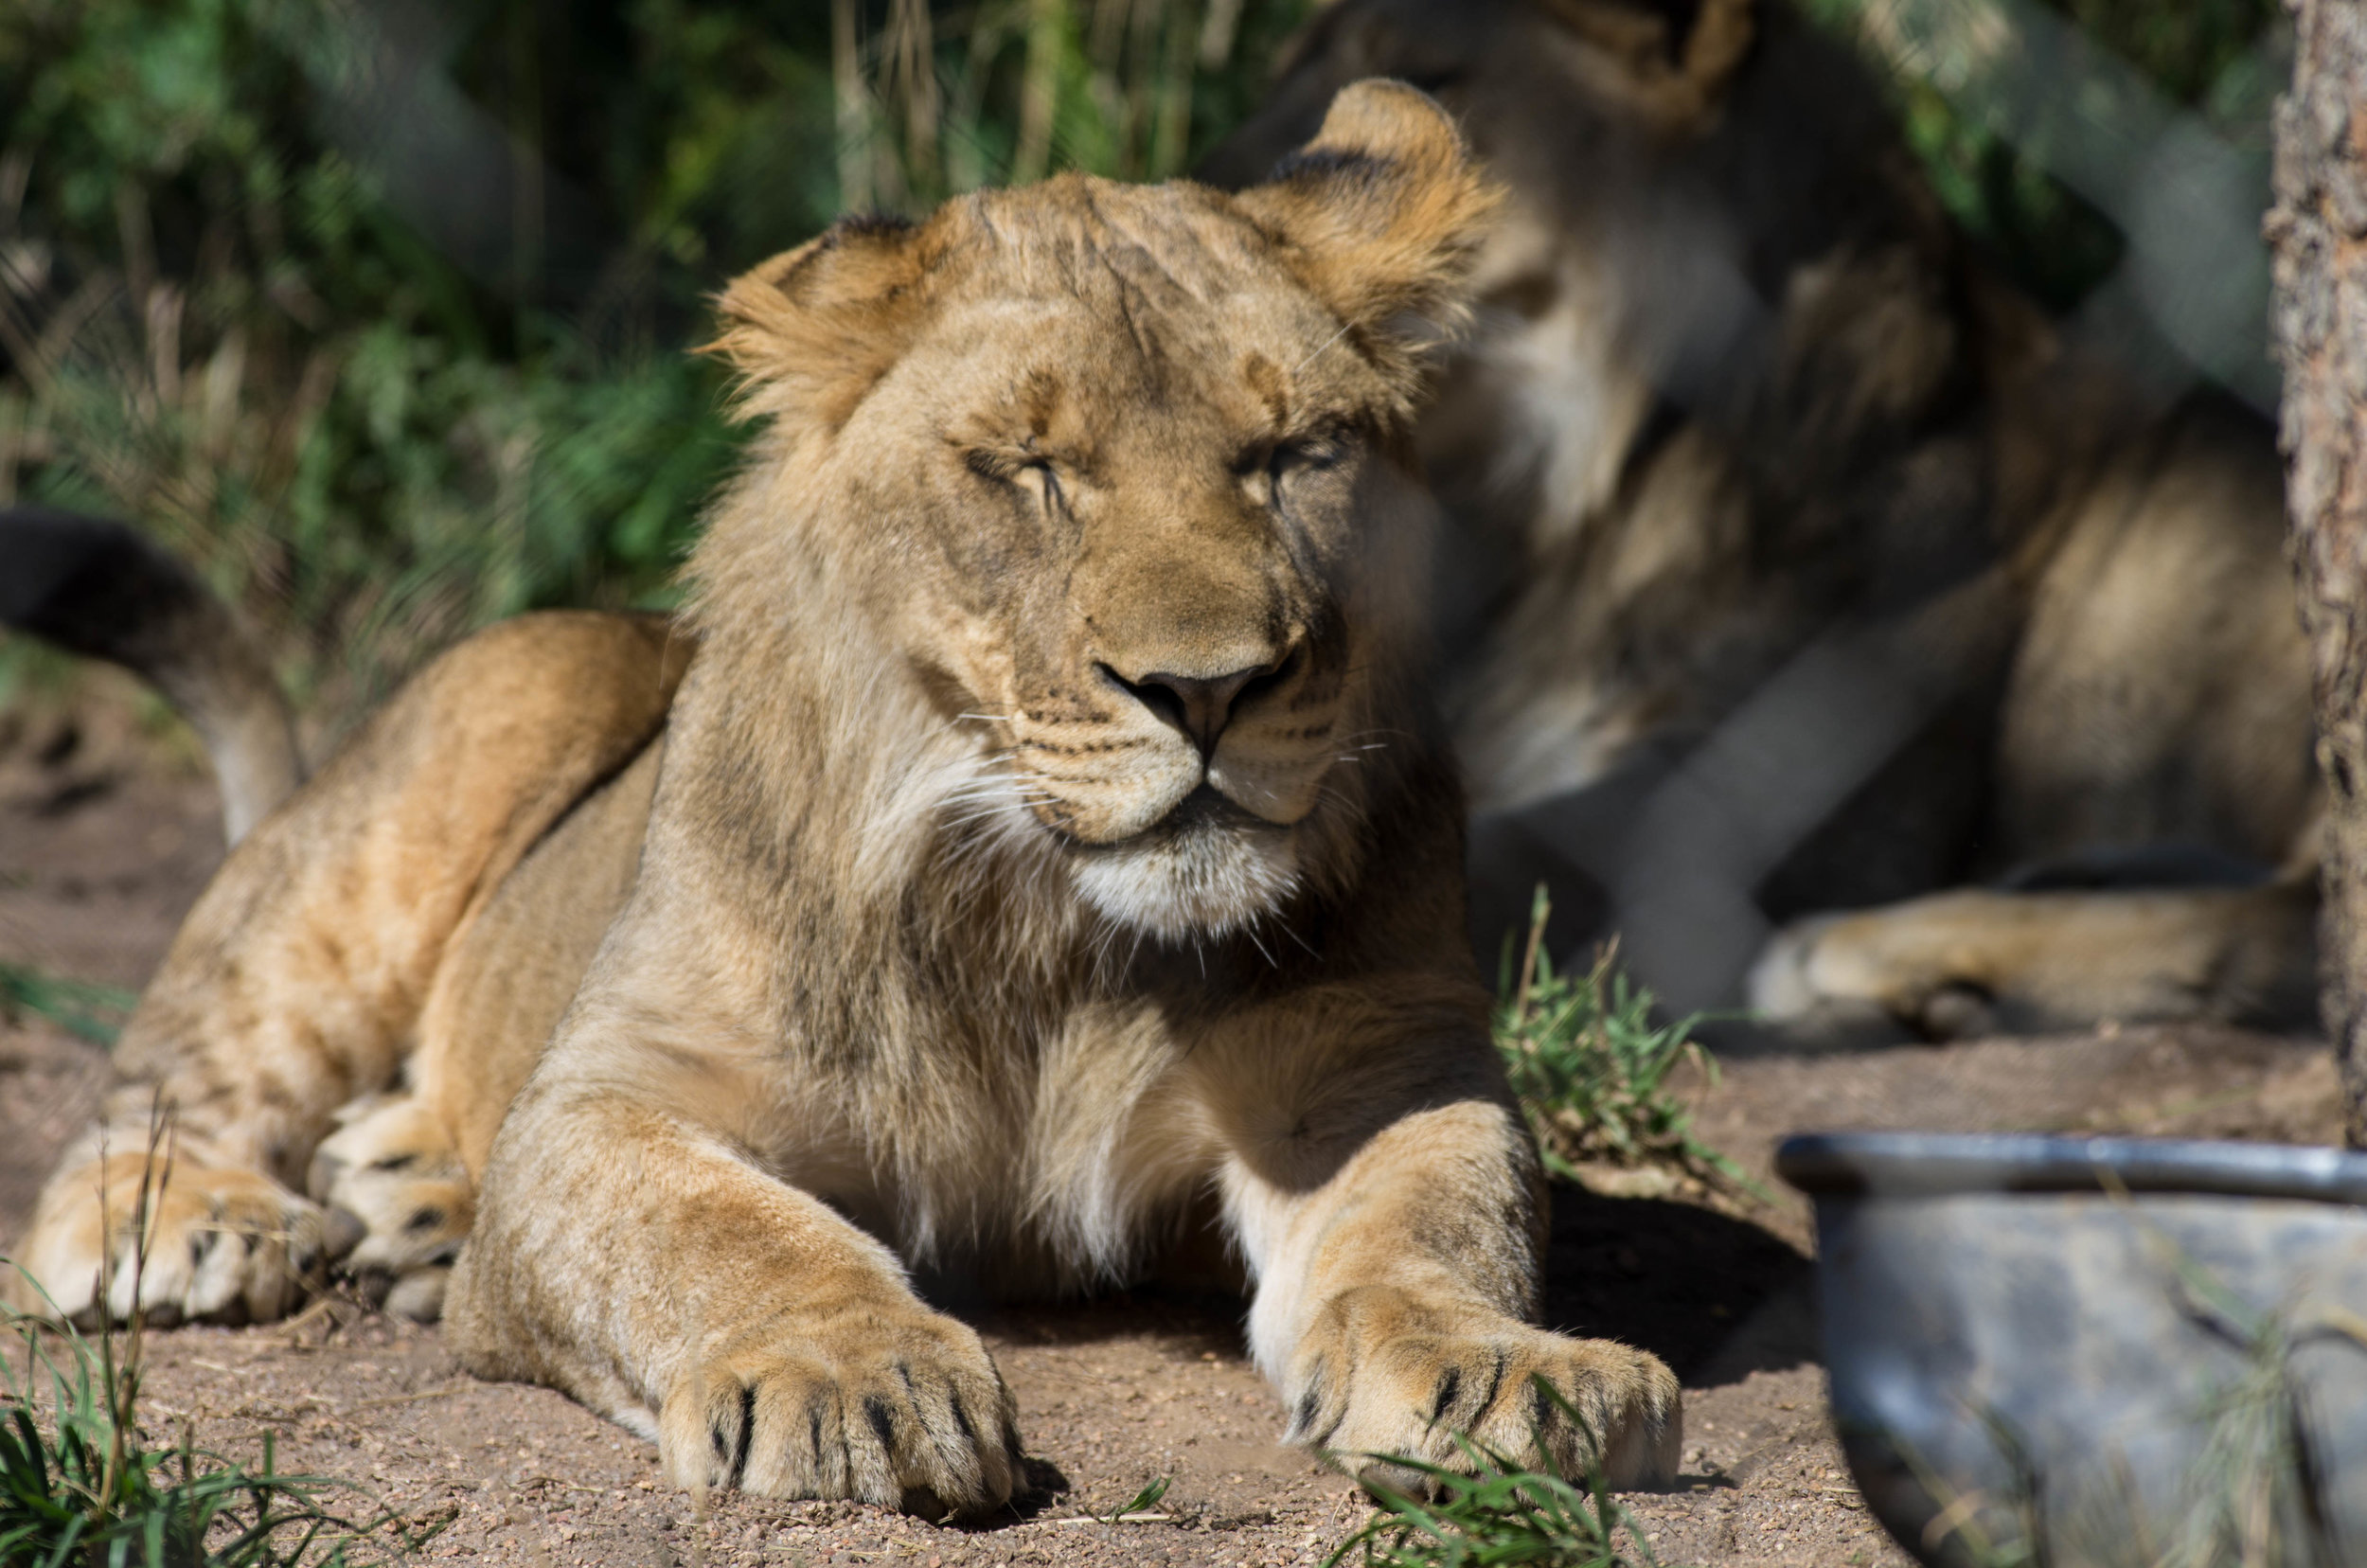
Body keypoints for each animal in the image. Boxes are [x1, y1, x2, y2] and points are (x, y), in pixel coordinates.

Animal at [0, 80, 1685, 1515]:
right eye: (1030, 467)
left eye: (1294, 453)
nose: (1208, 693)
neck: (1048, 932)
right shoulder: (620, 1090)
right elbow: (723, 1231)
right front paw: (844, 1373)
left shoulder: (1371, 1066)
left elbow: (1429, 1223)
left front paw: (1497, 1374)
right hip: (460, 748)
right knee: (180, 1062)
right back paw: (194, 1221)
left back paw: (406, 1200)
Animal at [1212, 0, 2320, 1051]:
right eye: (1273, 90)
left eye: (1425, 78)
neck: (1563, 507)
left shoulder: (1775, 799)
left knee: (2288, 929)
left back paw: (1862, 955)